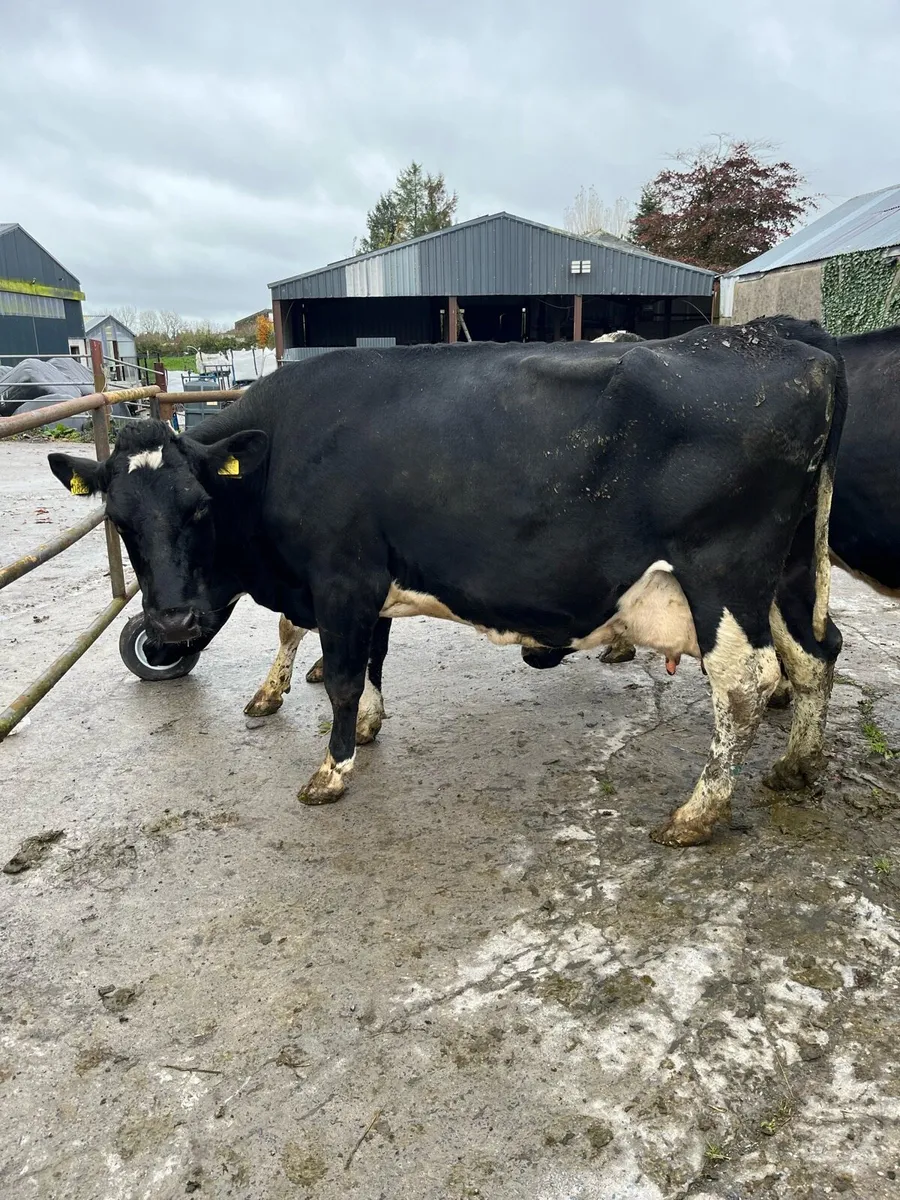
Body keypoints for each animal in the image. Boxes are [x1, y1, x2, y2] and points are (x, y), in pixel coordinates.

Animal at [48, 322, 845, 847]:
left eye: (199, 508)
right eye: (118, 520)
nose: (170, 628)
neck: (283, 450)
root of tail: (794, 349)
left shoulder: (341, 576)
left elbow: (342, 672)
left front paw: (332, 768)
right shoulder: (371, 581)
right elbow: (371, 658)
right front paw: (368, 728)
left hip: (723, 574)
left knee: (743, 686)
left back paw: (699, 813)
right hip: (787, 575)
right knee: (814, 657)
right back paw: (797, 768)